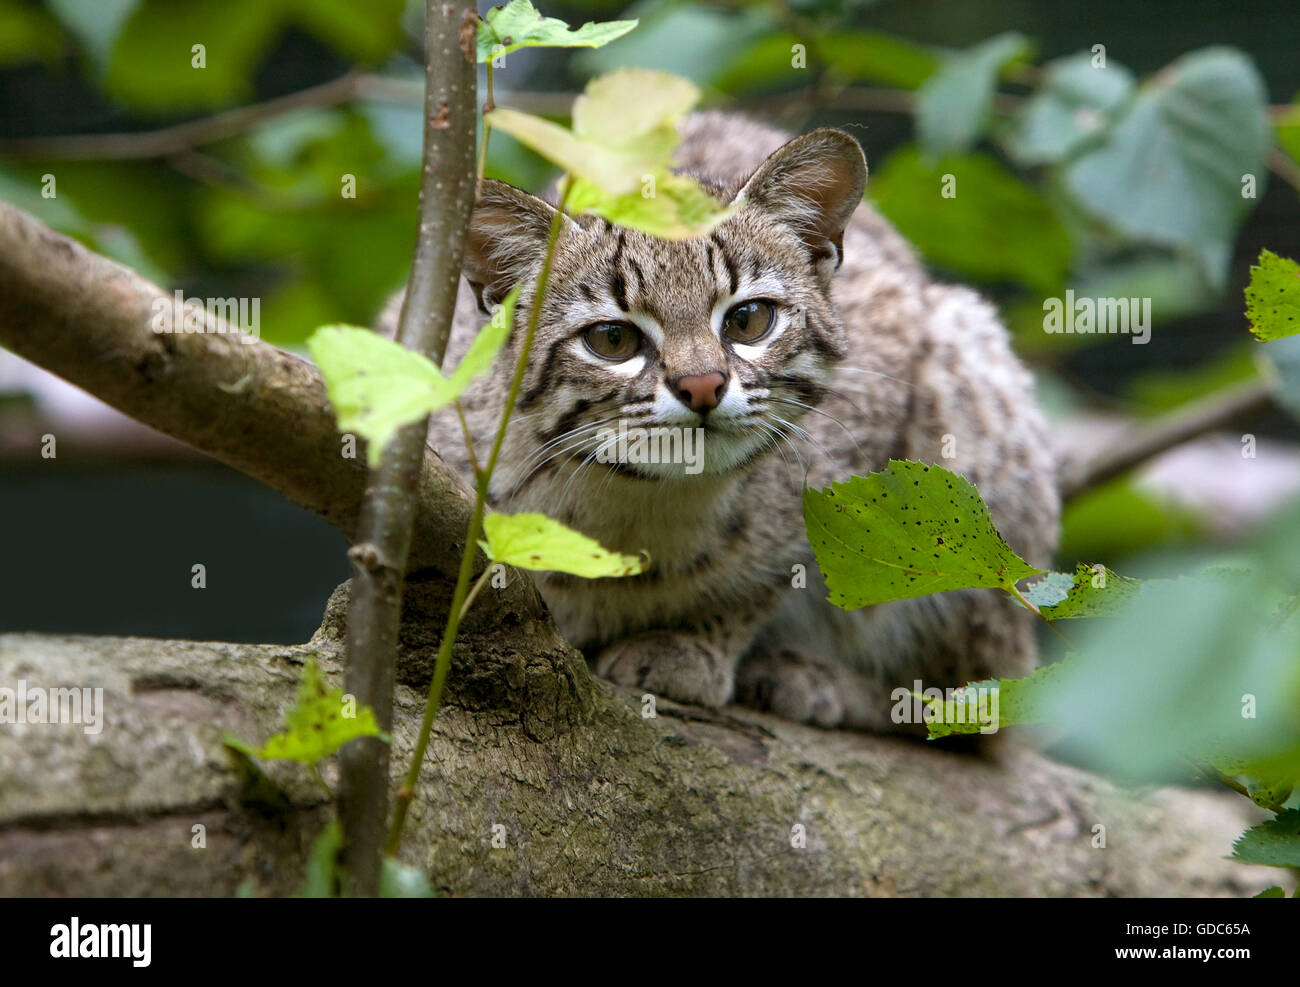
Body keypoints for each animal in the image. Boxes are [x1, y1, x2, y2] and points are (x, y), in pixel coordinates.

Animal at [400, 113, 1060, 733]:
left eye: (748, 321)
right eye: (611, 339)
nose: (702, 387)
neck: (642, 500)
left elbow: (779, 568)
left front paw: (691, 643)